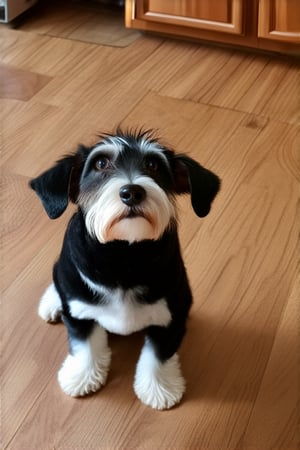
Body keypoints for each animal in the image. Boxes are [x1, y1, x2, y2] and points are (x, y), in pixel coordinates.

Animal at [29, 128, 219, 410]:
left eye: (153, 164)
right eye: (100, 163)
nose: (132, 192)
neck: (123, 256)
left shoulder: (171, 316)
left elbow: (158, 356)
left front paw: (159, 388)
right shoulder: (79, 312)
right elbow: (84, 346)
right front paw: (82, 376)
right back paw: (52, 302)